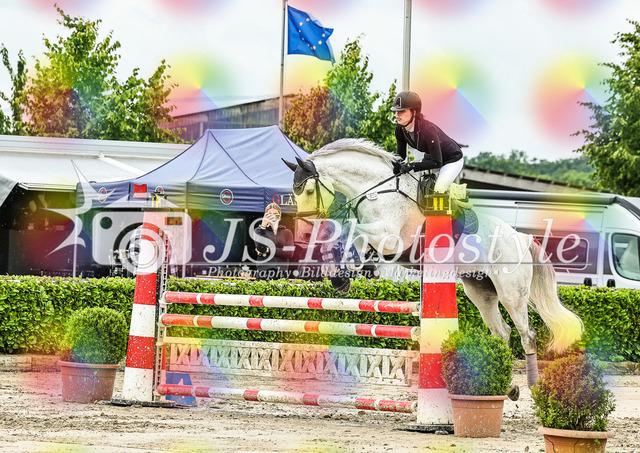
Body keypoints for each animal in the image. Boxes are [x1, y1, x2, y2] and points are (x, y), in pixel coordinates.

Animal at [283, 138, 584, 388]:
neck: (377, 191)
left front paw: (345, 273)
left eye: (307, 190)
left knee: (526, 334)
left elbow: (353, 231)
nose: (306, 230)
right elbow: (351, 240)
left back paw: (531, 385)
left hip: (512, 293)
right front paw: (342, 277)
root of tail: (522, 238)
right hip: (479, 290)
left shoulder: (391, 240)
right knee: (502, 331)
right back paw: (504, 385)